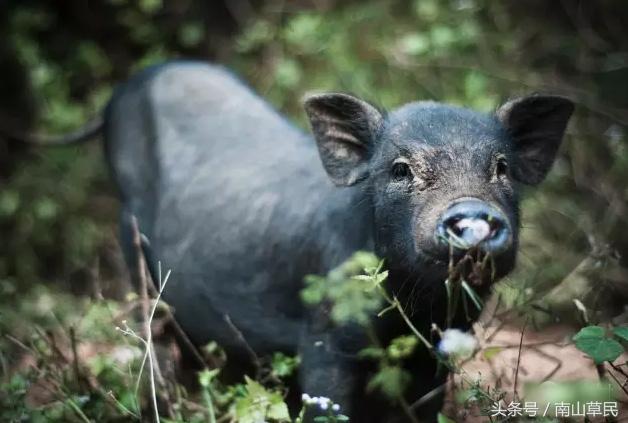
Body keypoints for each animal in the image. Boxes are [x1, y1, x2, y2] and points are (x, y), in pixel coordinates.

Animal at [99, 61, 576, 422]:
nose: (473, 214)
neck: (415, 308)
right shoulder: (324, 337)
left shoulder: (441, 346)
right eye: (400, 169)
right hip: (131, 245)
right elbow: (329, 401)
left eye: (501, 167)